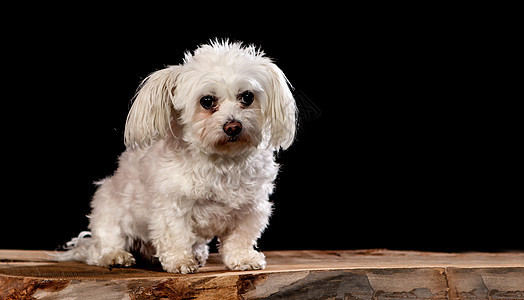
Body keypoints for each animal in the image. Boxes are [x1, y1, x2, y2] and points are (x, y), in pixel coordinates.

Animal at [59, 40, 296, 274]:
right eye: (207, 101)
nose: (233, 127)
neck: (222, 160)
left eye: (247, 96)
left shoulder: (250, 208)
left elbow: (241, 238)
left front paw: (242, 258)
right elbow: (176, 236)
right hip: (108, 208)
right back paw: (114, 256)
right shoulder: (172, 207)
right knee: (102, 246)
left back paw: (198, 254)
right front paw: (180, 261)